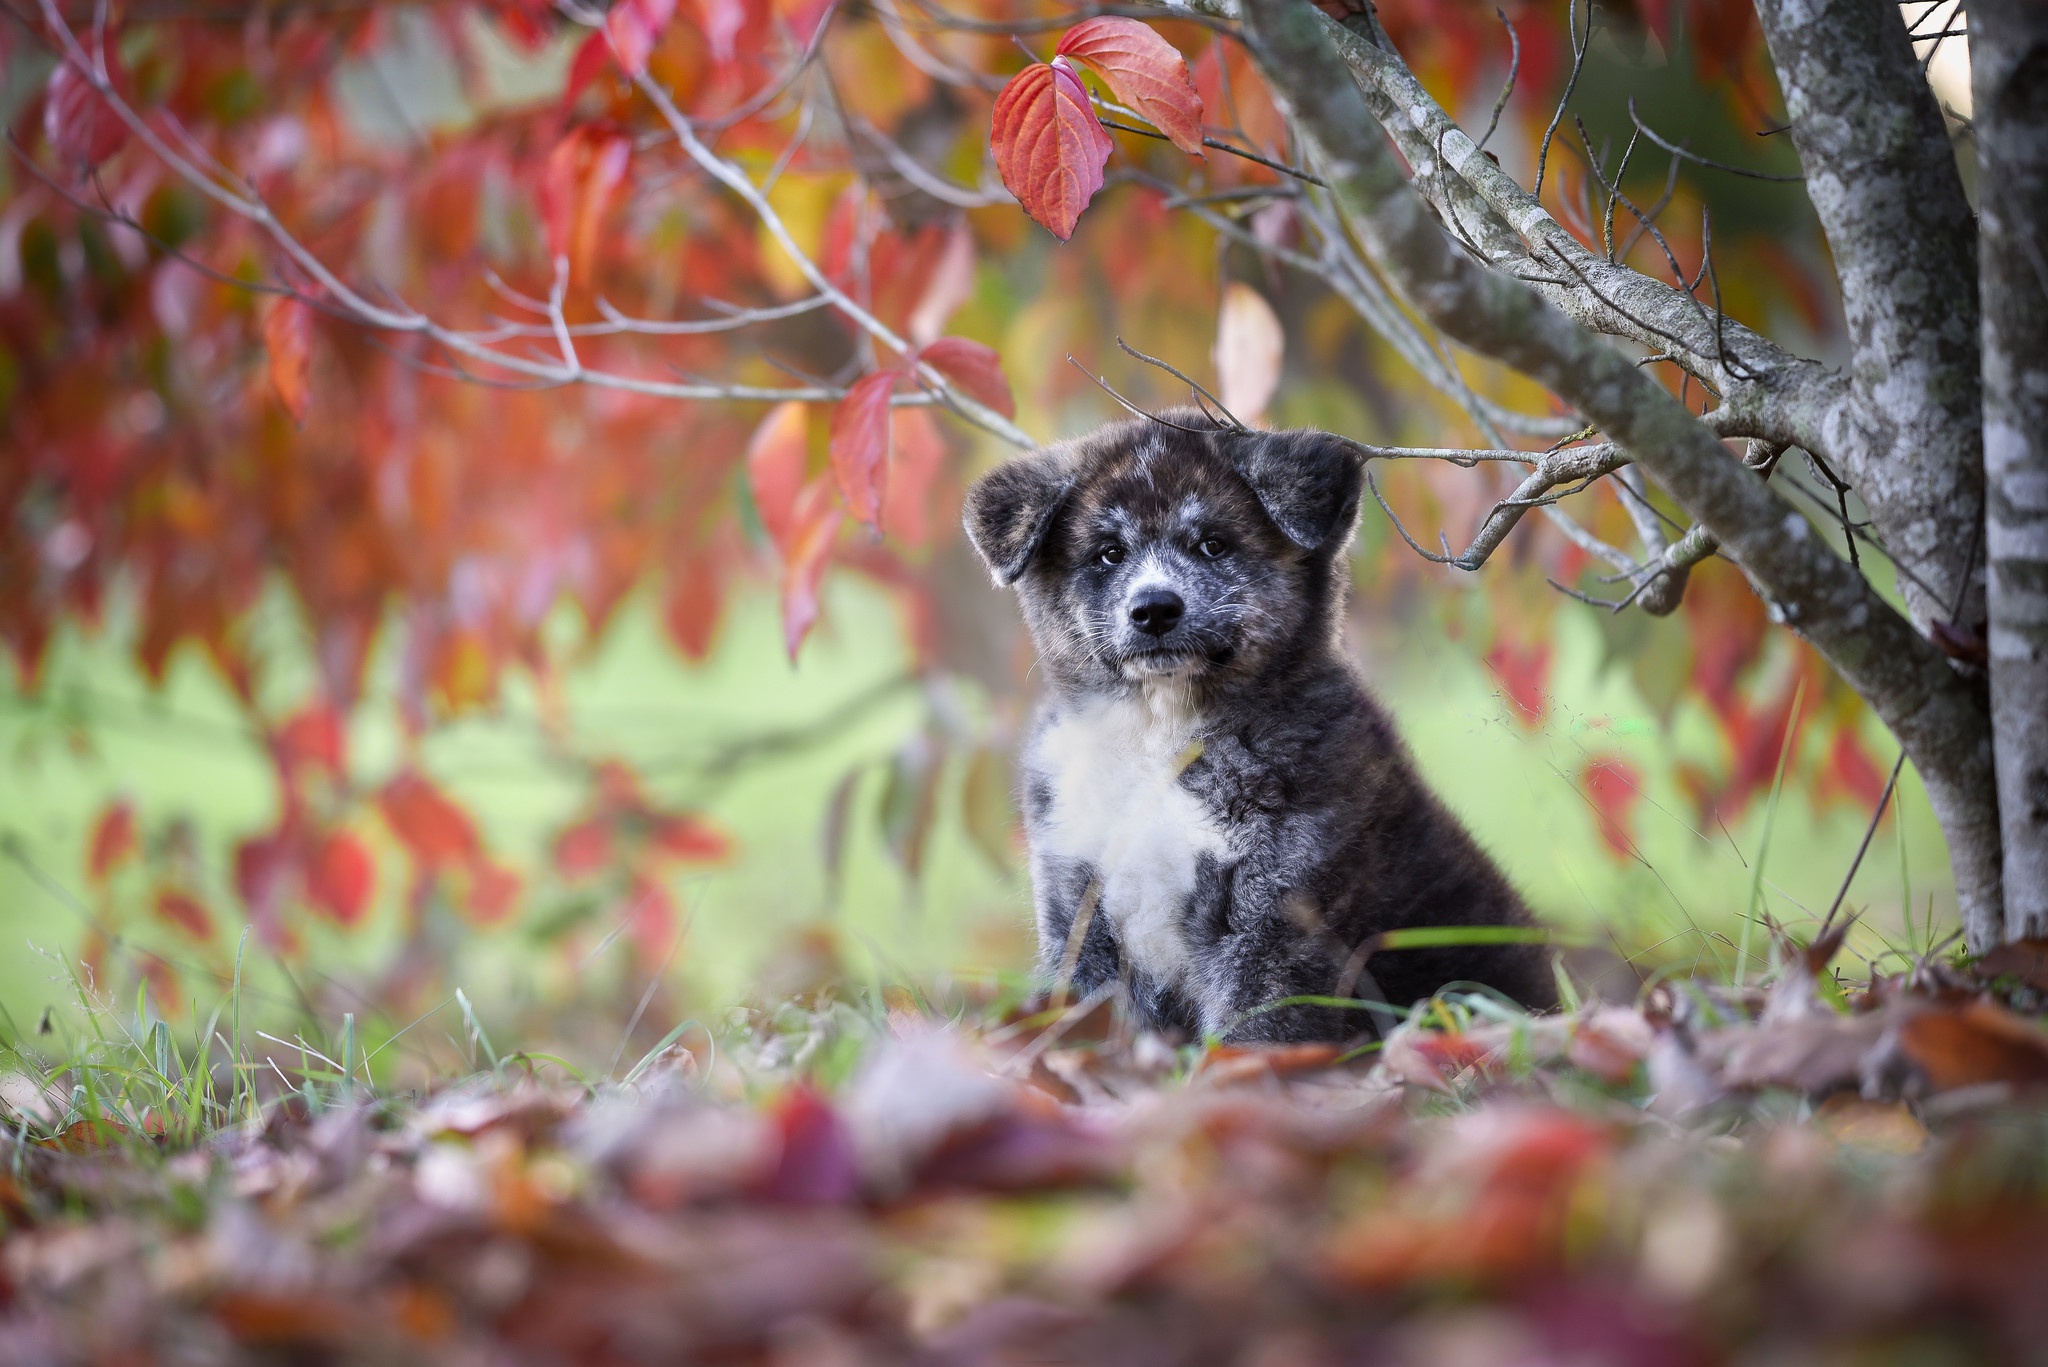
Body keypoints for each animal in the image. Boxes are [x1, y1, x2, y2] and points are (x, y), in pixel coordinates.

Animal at [958, 411, 1548, 1041]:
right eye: (1108, 553)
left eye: (1214, 544)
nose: (1155, 609)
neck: (1160, 738)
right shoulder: (1075, 895)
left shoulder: (1277, 908)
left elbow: (1254, 1029)